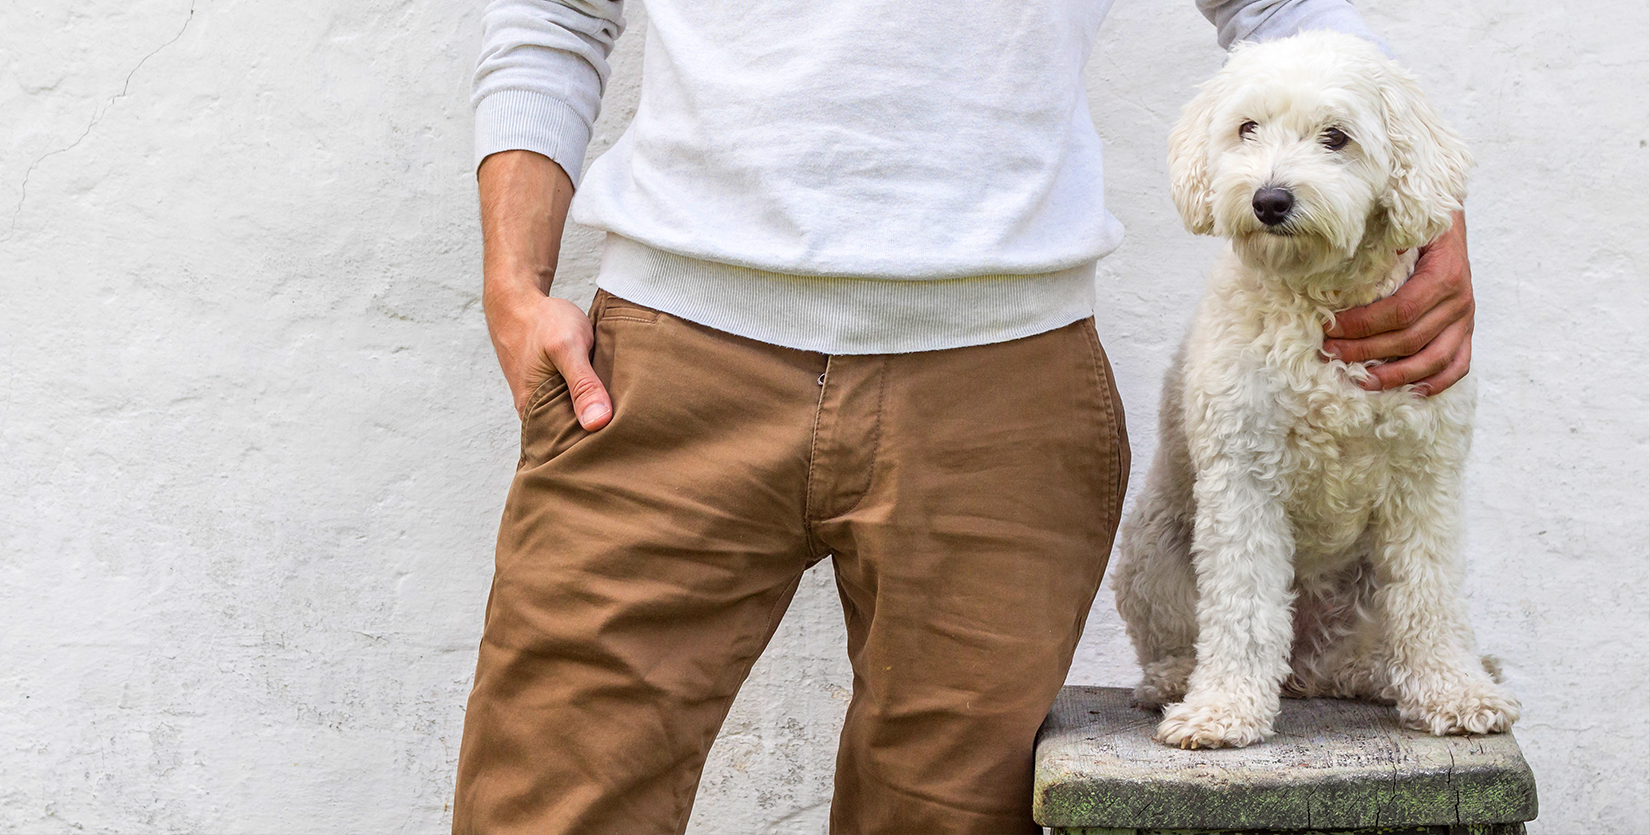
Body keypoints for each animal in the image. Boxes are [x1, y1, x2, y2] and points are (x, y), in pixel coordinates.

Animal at [1108, 32, 1518, 749]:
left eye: (1336, 137)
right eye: (1247, 128)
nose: (1270, 200)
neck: (1318, 295)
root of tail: (1304, 668)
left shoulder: (1425, 477)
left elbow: (1431, 595)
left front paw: (1455, 692)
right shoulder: (1243, 477)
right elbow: (1242, 607)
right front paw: (1224, 710)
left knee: (1361, 651)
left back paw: (1378, 675)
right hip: (1152, 552)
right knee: (1188, 634)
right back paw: (1177, 678)